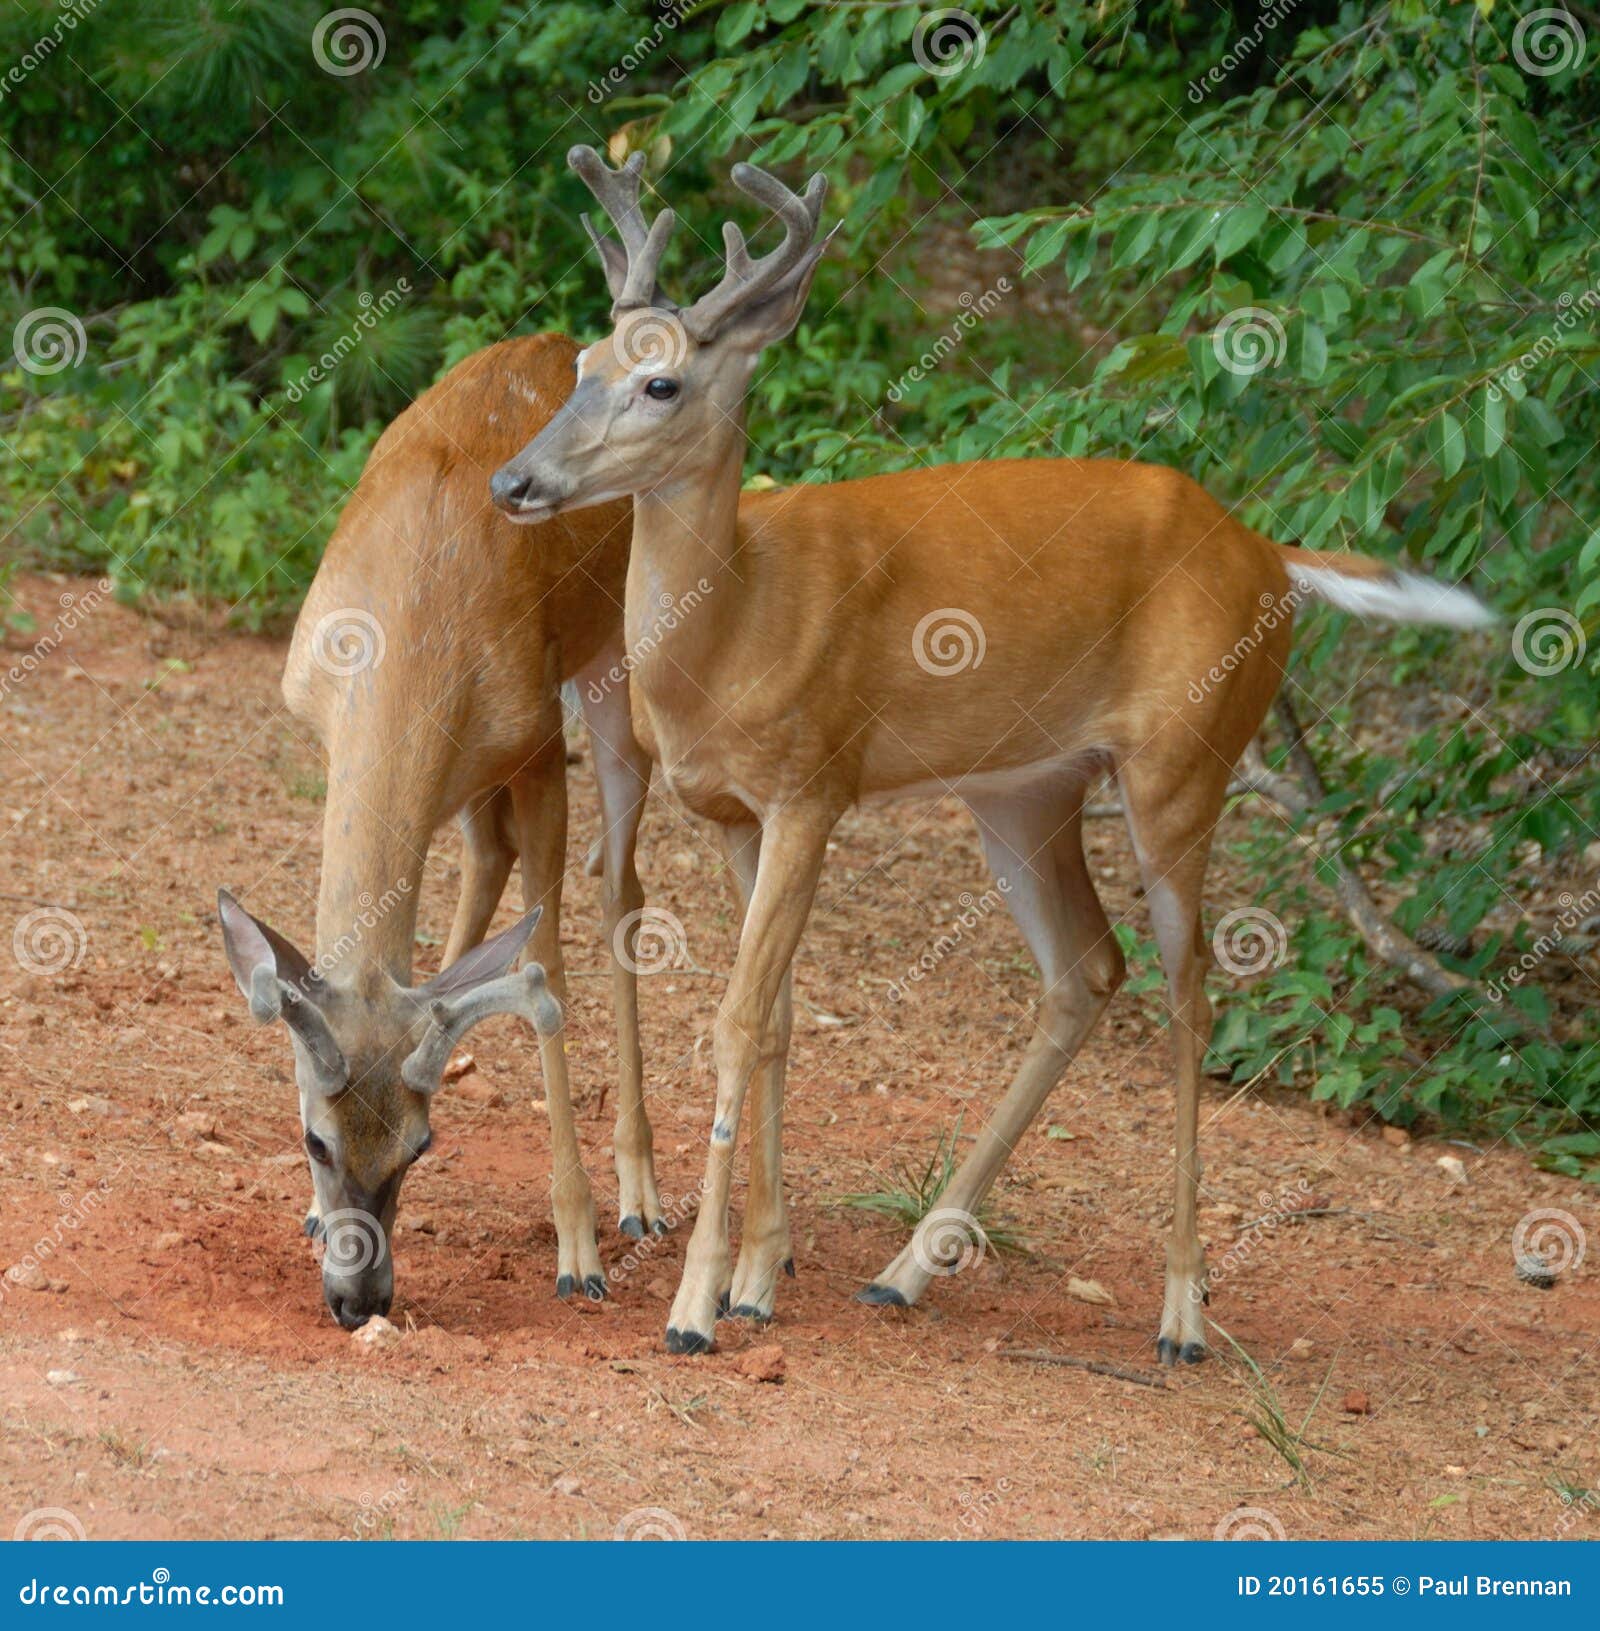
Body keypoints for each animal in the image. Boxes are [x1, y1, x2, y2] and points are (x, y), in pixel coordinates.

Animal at [213, 331, 662, 1324]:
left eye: (421, 1148)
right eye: (314, 1140)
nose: (360, 1299)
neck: (409, 628)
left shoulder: (535, 743)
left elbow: (547, 962)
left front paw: (578, 1248)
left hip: (614, 669)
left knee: (621, 883)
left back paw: (641, 1195)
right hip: (473, 774)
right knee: (489, 857)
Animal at [486, 146, 1500, 1356]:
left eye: (662, 385)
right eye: (582, 362)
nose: (514, 482)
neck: (733, 621)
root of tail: (1270, 553)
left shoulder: (816, 784)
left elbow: (736, 1021)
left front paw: (697, 1305)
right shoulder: (738, 810)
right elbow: (777, 1019)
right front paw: (762, 1274)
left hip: (1183, 766)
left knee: (1193, 997)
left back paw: (1181, 1309)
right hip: (1025, 791)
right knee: (1085, 969)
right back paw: (903, 1271)